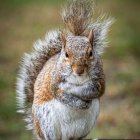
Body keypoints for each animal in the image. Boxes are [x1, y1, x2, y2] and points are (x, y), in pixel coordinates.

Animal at [16, 0, 113, 140]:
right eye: (66, 54)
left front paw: (72, 88)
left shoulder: (99, 80)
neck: (78, 79)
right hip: (46, 121)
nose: (79, 70)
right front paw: (72, 94)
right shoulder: (53, 81)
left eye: (90, 53)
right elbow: (59, 93)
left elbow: (95, 89)